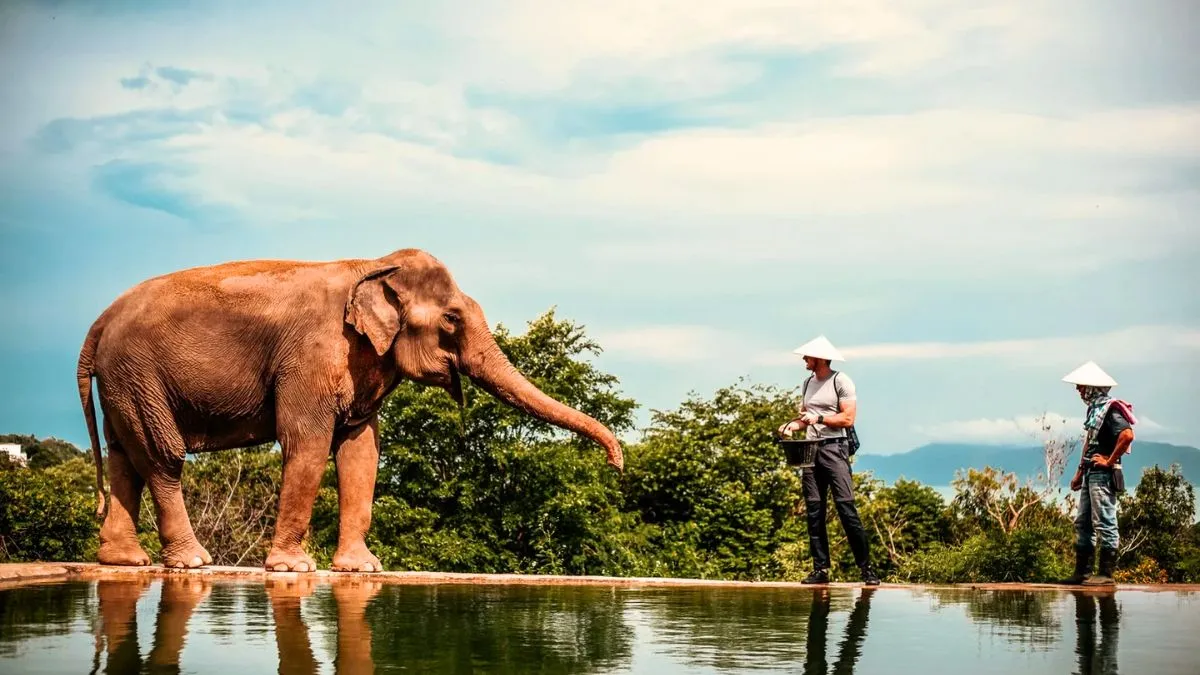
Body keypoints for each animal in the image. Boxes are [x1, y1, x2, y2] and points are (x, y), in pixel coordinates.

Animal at [76, 243, 624, 569]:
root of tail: (98, 321)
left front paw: (361, 569)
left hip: (125, 381)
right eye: (451, 319)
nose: (618, 466)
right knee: (161, 457)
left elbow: (362, 451)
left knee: (125, 454)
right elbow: (308, 443)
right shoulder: (313, 355)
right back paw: (192, 562)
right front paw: (294, 569)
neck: (372, 263)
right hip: (138, 372)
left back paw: (125, 561)